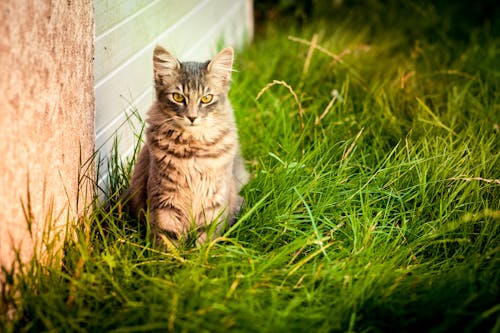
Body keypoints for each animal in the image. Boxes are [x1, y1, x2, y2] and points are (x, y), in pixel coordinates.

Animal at [123, 45, 248, 245]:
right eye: (178, 97)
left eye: (206, 99)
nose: (192, 117)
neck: (193, 149)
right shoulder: (165, 199)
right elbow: (166, 238)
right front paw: (171, 254)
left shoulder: (213, 203)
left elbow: (205, 239)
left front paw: (199, 253)